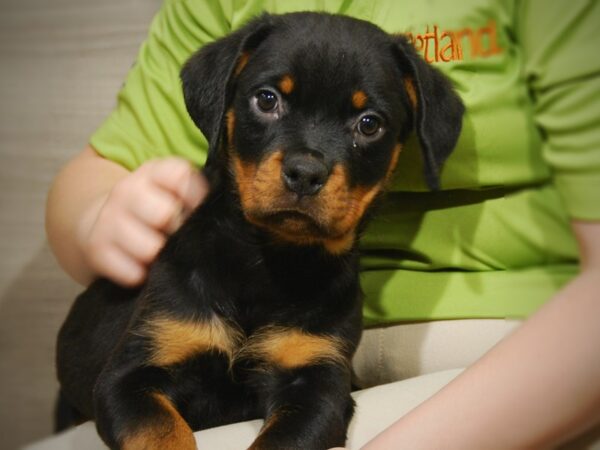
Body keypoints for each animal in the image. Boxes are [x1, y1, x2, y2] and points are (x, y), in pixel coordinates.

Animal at [55, 10, 464, 450]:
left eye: (369, 124)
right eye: (267, 99)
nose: (305, 173)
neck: (267, 261)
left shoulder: (316, 381)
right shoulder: (131, 374)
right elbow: (162, 433)